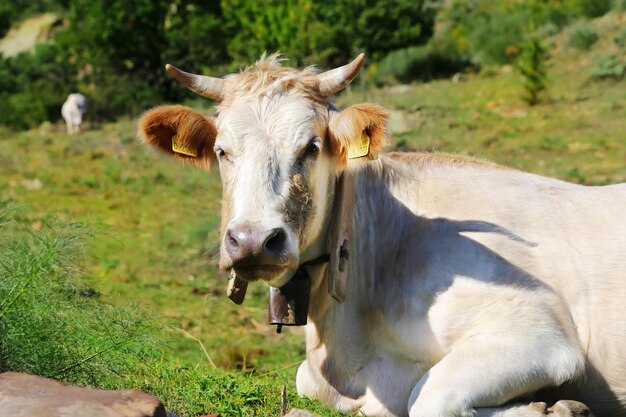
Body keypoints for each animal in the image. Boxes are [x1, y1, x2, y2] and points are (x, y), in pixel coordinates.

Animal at [139, 55, 624, 416]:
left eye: (312, 146)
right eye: (222, 151)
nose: (253, 241)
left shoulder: (540, 336)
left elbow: (428, 399)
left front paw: (550, 407)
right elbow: (304, 380)